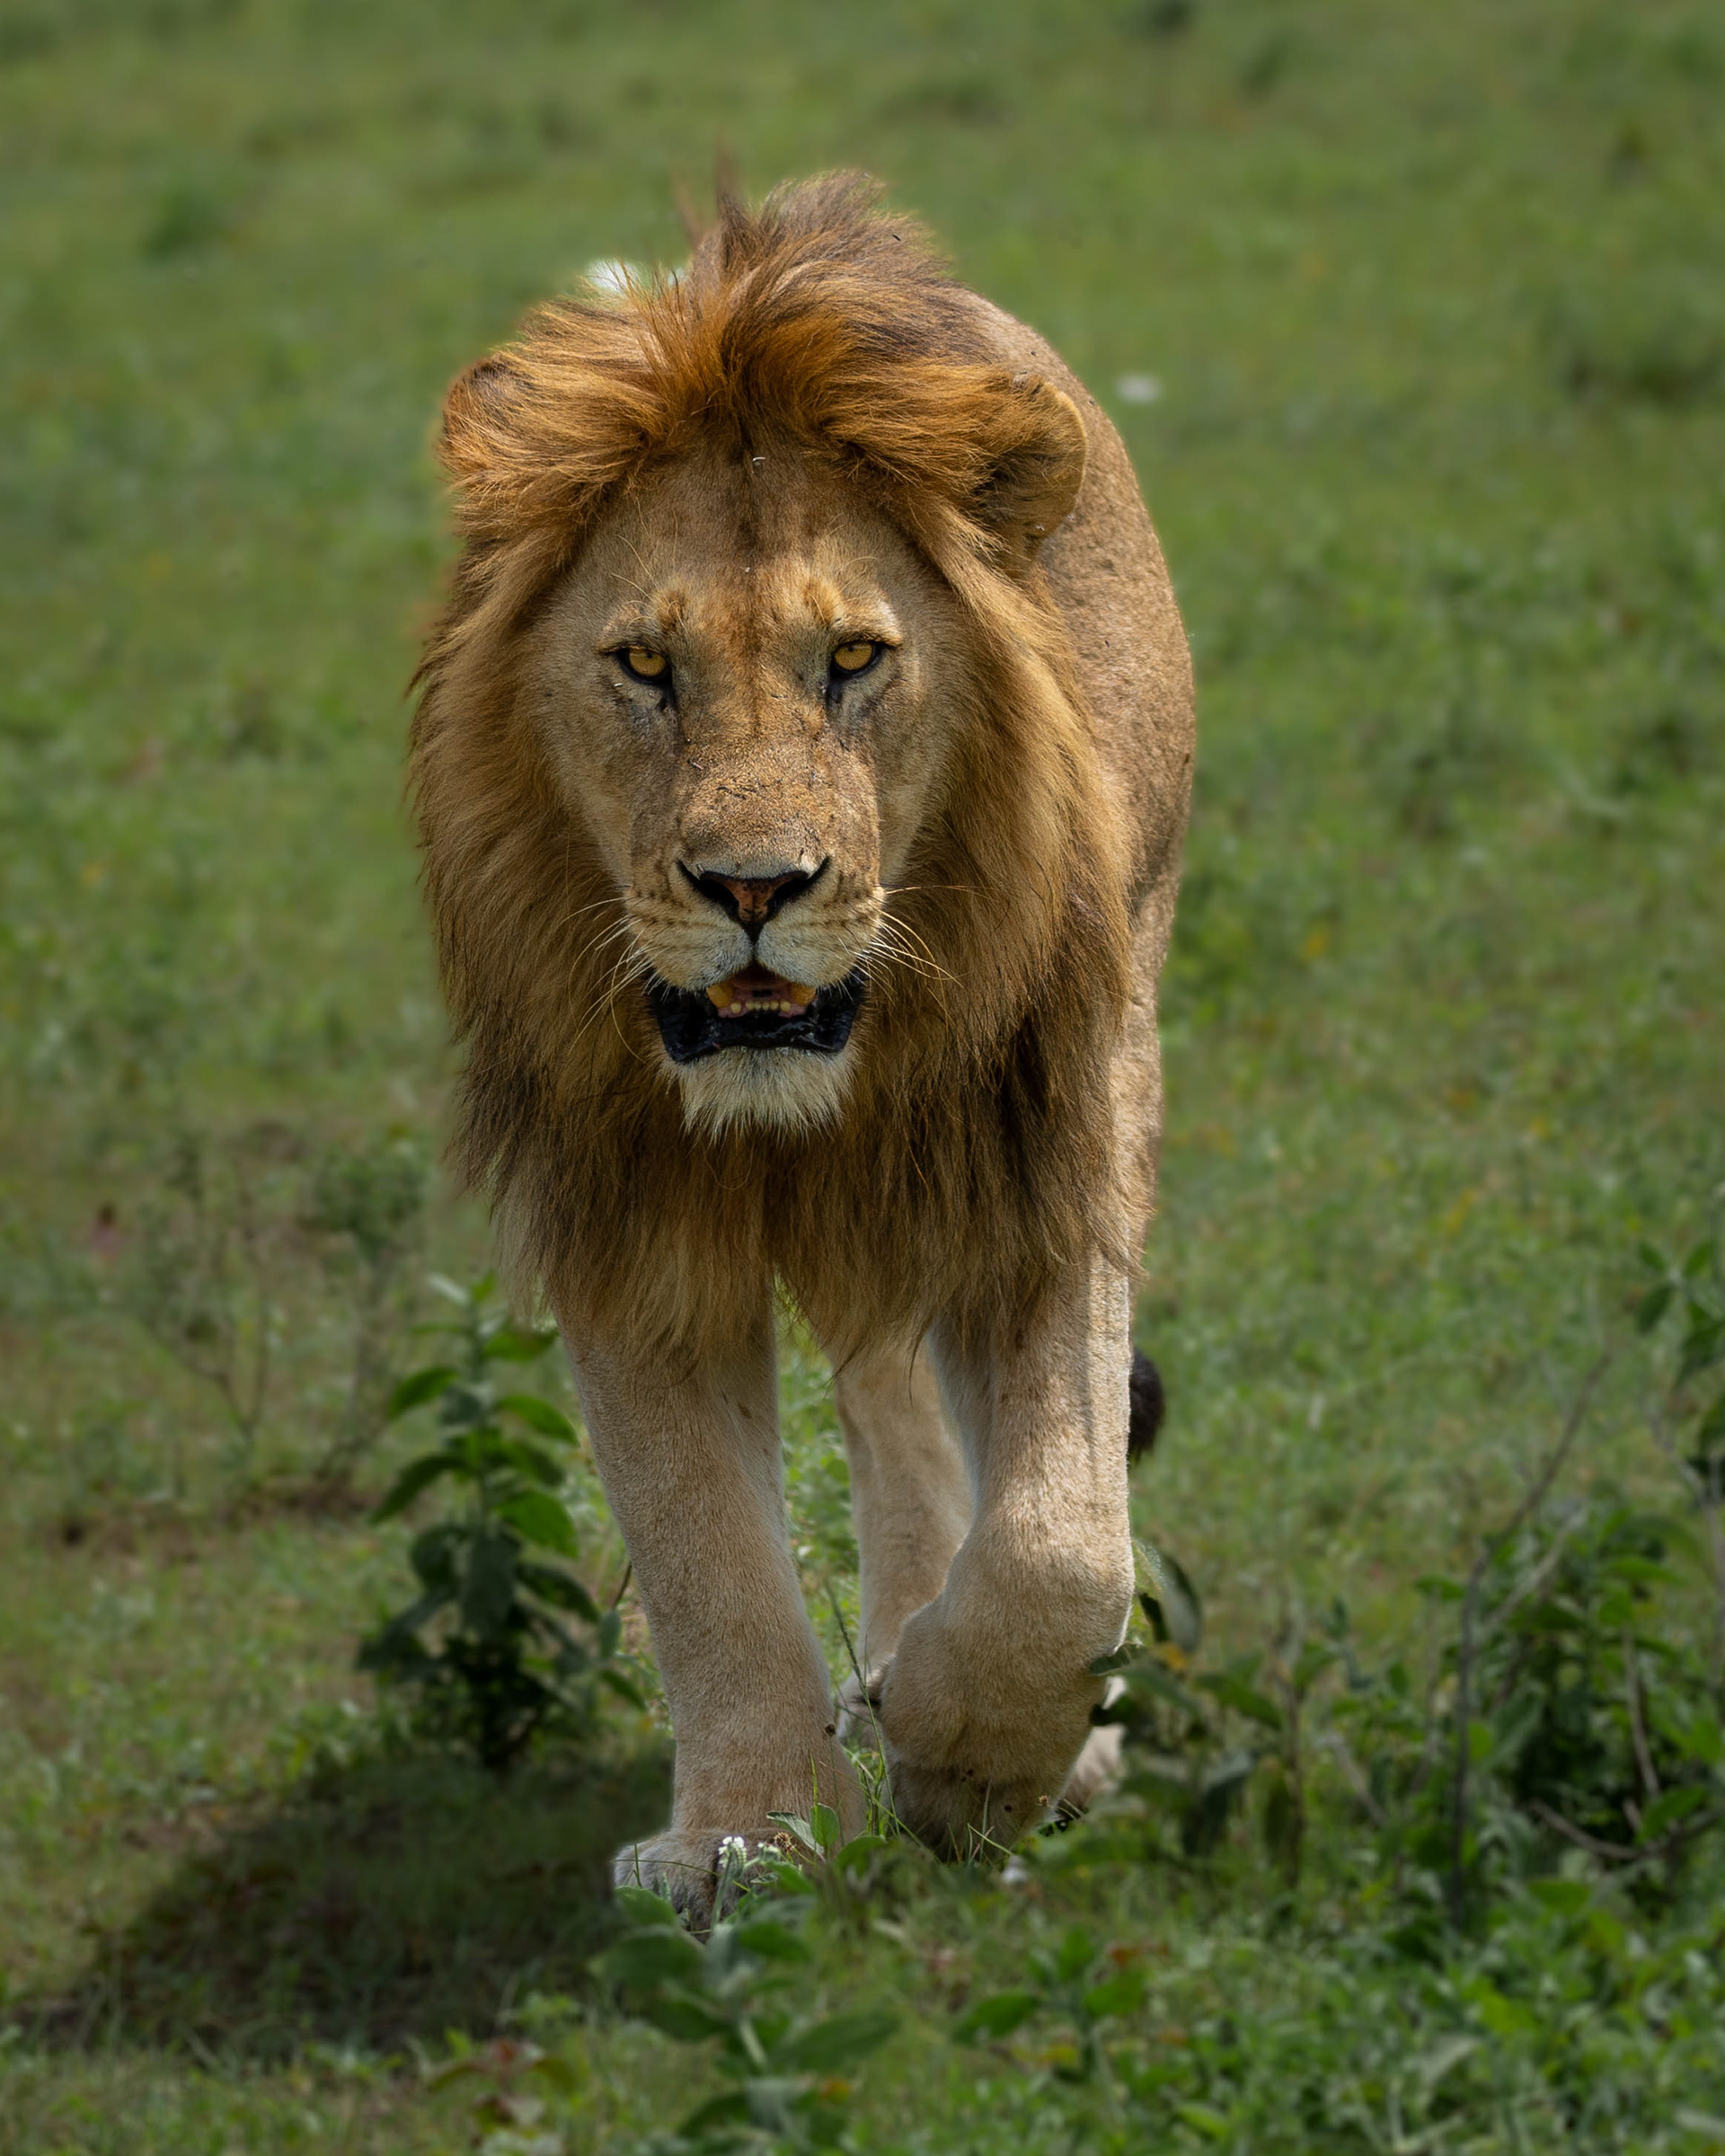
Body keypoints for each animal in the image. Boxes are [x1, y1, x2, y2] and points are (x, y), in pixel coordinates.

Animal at [410, 174, 1193, 1910]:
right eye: (646, 664)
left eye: (854, 660)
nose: (756, 888)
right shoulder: (618, 1192)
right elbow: (699, 1540)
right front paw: (751, 1833)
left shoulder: (1054, 1130)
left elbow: (1061, 1541)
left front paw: (970, 1764)